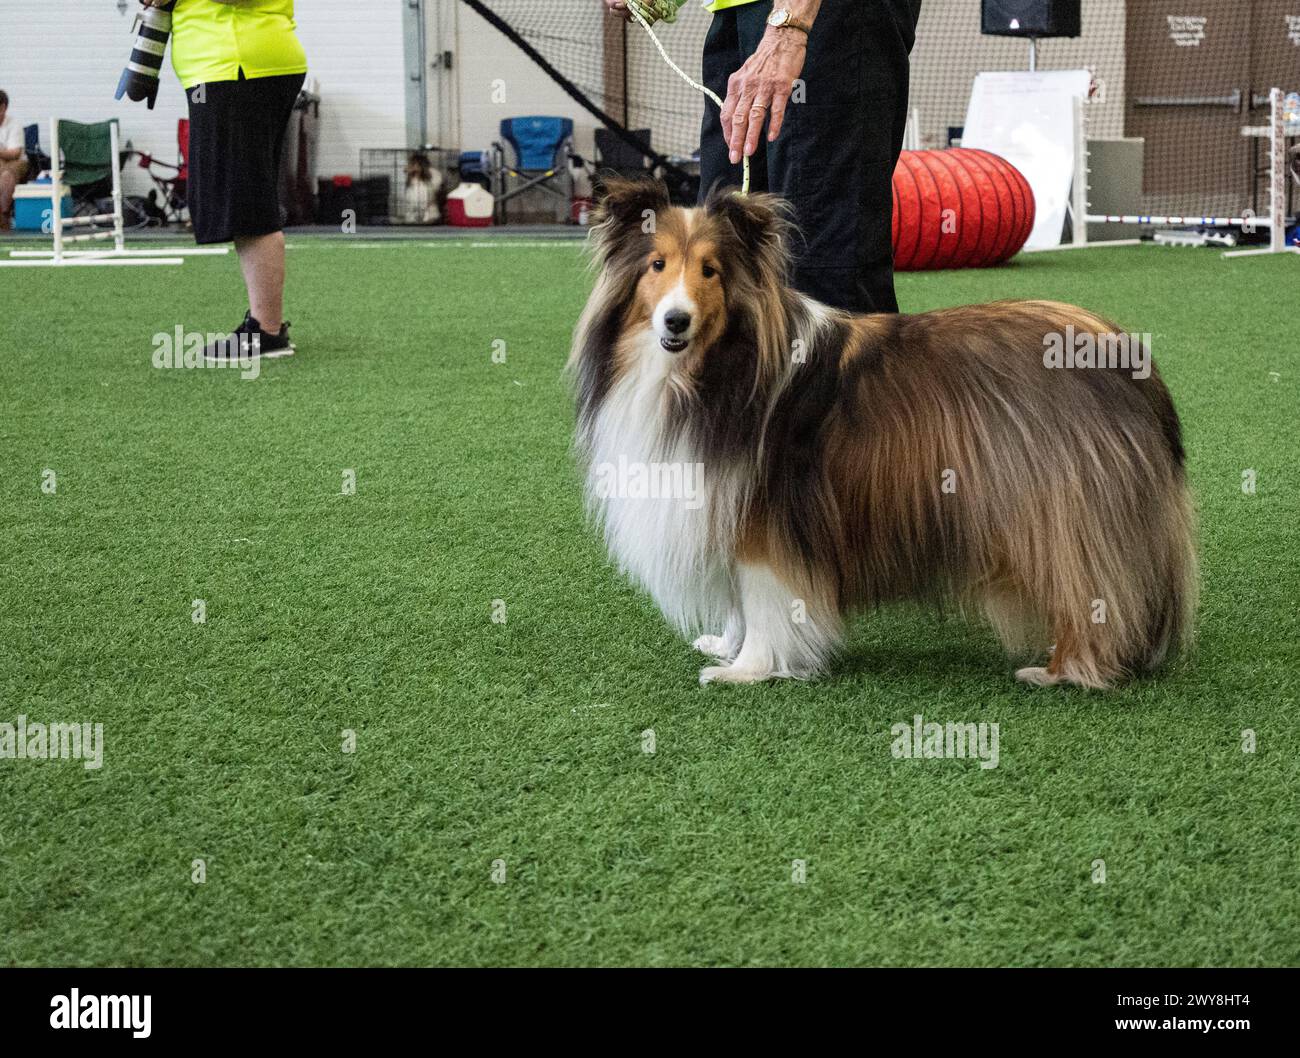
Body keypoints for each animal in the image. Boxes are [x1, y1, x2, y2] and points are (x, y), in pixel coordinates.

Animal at [569, 178, 1196, 691]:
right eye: (656, 265)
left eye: (710, 270)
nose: (675, 321)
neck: (708, 367)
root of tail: (1126, 353)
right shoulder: (722, 502)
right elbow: (738, 601)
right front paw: (726, 645)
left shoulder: (767, 517)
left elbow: (764, 597)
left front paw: (748, 669)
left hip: (1062, 511)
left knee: (1094, 592)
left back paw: (1062, 670)